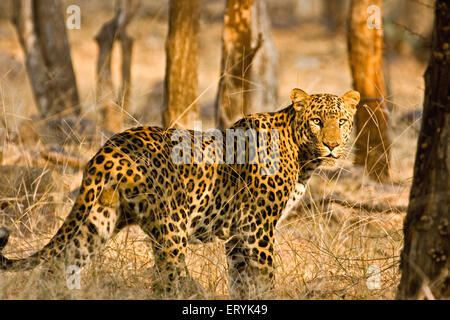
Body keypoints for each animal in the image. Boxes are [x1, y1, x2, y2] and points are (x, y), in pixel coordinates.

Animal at [0, 87, 358, 298]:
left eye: (341, 121)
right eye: (316, 121)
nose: (332, 145)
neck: (303, 157)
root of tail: (110, 147)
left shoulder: (238, 236)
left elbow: (240, 281)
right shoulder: (257, 228)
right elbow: (265, 277)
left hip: (100, 218)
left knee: (62, 262)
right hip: (171, 226)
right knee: (165, 279)